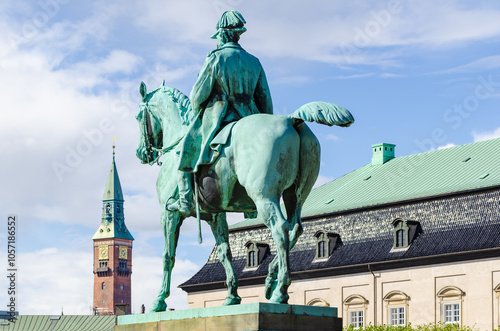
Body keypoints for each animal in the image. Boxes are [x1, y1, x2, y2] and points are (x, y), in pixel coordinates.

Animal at [135, 81, 354, 312]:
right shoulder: (216, 216)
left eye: (138, 116)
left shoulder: (168, 214)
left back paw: (280, 291)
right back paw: (270, 281)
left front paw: (159, 300)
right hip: (295, 196)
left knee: (280, 229)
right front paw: (232, 295)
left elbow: (168, 256)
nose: (141, 153)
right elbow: (225, 252)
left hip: (264, 197)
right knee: (295, 229)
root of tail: (291, 118)